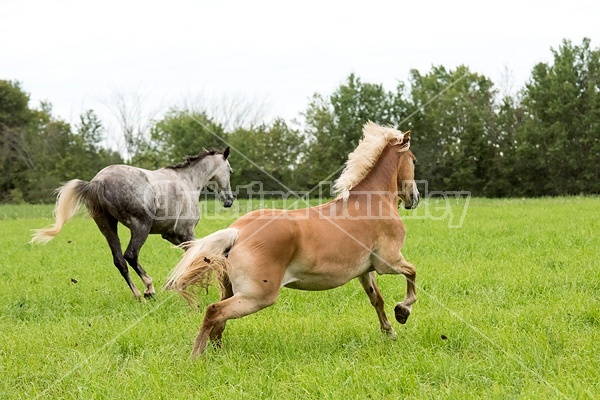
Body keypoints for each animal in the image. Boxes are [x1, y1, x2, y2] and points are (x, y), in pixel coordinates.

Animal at [31, 148, 234, 300]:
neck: (187, 182)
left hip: (107, 227)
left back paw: (137, 294)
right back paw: (149, 289)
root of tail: (98, 182)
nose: (229, 200)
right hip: (140, 226)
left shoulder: (172, 235)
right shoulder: (186, 231)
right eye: (230, 171)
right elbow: (200, 255)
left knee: (119, 260)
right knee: (130, 255)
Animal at [162, 122, 420, 360]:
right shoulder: (388, 261)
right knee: (214, 312)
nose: (414, 199)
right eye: (414, 160)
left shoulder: (366, 270)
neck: (373, 201)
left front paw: (389, 332)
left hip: (232, 290)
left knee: (219, 323)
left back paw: (217, 354)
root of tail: (238, 231)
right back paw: (196, 356)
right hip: (257, 296)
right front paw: (403, 311)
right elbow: (412, 273)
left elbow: (377, 299)